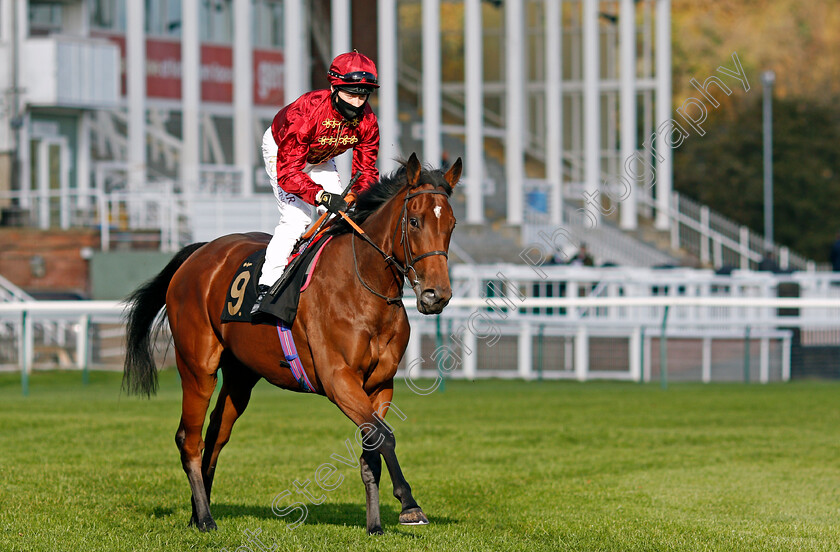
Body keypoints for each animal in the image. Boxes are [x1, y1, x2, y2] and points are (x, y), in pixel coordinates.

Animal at [122, 153, 462, 532]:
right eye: (415, 221)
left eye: (451, 224)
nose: (436, 295)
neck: (364, 285)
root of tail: (199, 253)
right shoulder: (338, 379)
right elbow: (384, 436)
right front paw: (409, 505)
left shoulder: (380, 384)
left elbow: (371, 449)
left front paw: (375, 524)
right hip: (198, 368)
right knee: (189, 439)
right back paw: (206, 519)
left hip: (240, 377)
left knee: (216, 435)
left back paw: (199, 513)